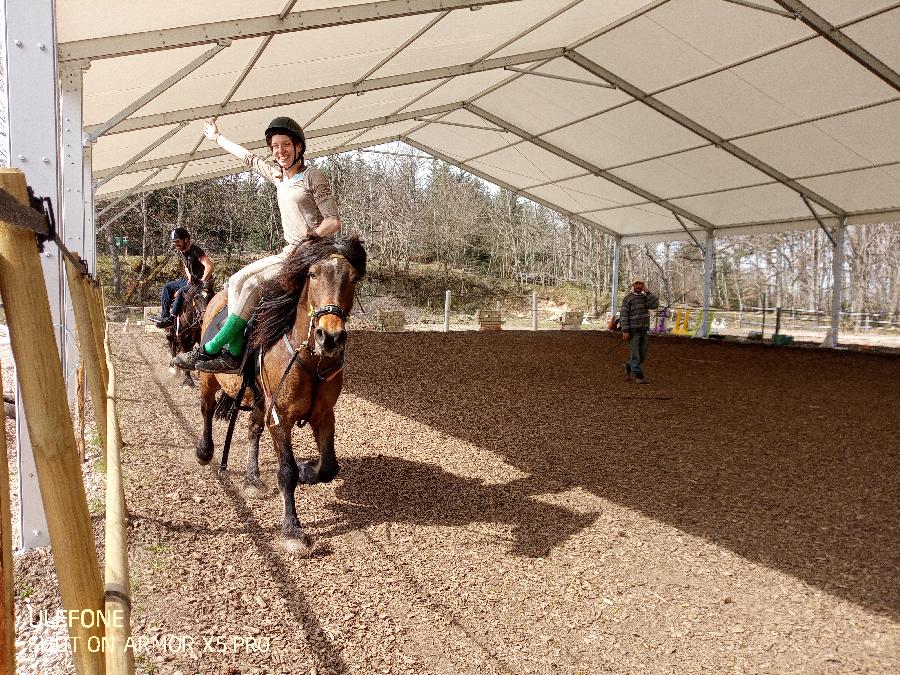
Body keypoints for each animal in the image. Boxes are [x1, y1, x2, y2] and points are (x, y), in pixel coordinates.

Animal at [196, 235, 366, 552]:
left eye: (352, 278)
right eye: (312, 274)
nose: (330, 336)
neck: (311, 359)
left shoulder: (324, 415)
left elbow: (329, 467)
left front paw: (309, 470)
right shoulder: (280, 417)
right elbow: (286, 472)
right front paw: (292, 530)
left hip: (259, 399)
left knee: (252, 430)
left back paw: (252, 479)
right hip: (208, 379)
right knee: (206, 409)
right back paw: (205, 450)